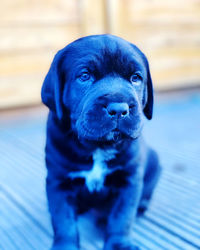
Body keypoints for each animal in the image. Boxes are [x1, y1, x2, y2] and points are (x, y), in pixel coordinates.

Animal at [41, 34, 161, 249]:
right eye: (84, 76)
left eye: (135, 78)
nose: (119, 108)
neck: (97, 146)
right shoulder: (58, 181)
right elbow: (63, 220)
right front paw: (65, 245)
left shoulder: (129, 181)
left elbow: (122, 217)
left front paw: (119, 244)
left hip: (154, 162)